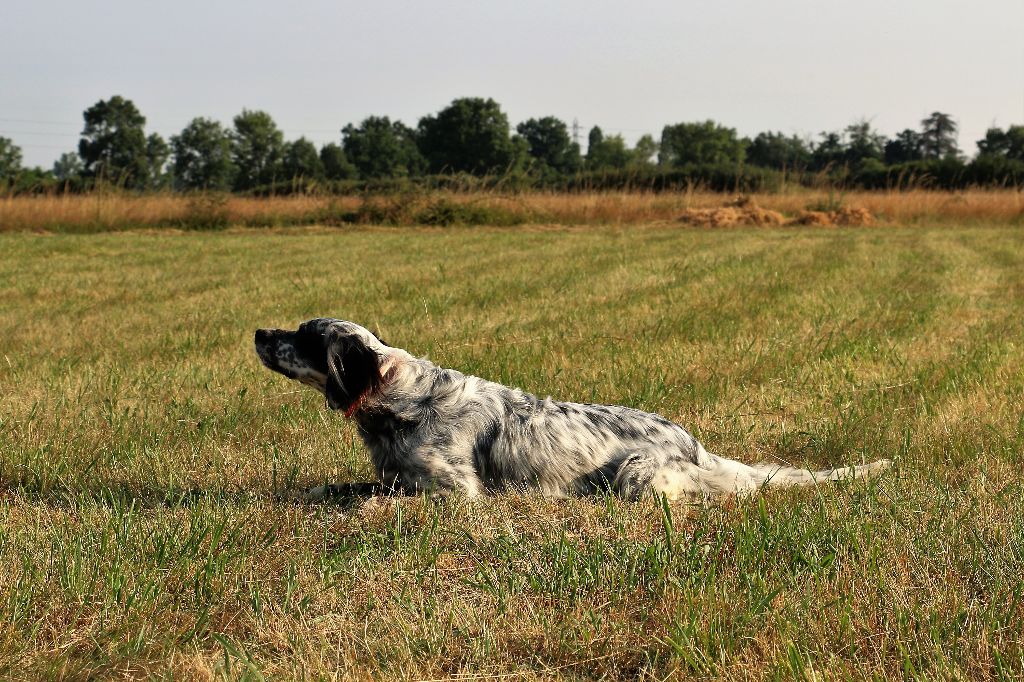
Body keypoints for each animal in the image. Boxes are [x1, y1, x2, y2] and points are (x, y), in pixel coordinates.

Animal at [253, 315, 888, 497]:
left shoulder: (453, 492)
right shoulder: (392, 475)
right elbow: (341, 489)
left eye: (304, 335)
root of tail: (696, 446)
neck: (405, 399)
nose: (259, 332)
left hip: (637, 475)